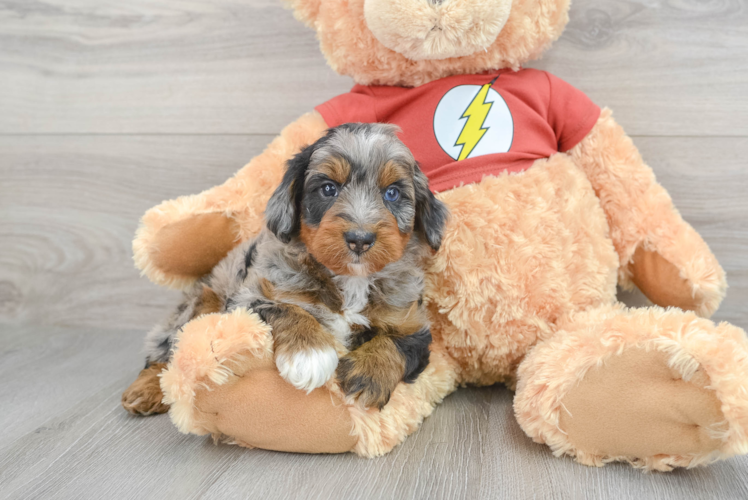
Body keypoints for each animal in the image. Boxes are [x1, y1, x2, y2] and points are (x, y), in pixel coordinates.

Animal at [123, 123, 450, 412]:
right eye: (328, 189)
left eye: (392, 193)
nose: (360, 239)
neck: (350, 279)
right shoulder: (248, 298)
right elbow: (286, 309)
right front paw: (310, 355)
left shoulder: (413, 324)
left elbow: (396, 343)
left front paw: (368, 376)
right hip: (198, 305)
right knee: (167, 349)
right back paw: (145, 389)